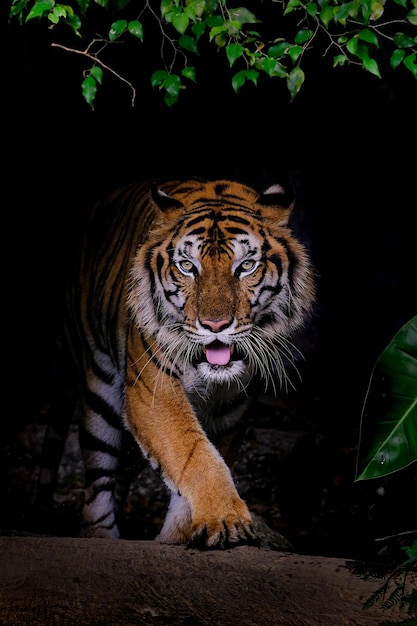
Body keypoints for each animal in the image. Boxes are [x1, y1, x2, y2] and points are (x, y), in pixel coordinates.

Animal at [63, 176, 314, 544]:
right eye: (187, 267)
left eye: (246, 266)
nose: (215, 325)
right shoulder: (152, 391)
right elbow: (192, 453)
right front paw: (225, 518)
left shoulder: (232, 410)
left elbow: (205, 460)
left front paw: (180, 535)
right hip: (100, 394)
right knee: (97, 486)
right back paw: (100, 538)